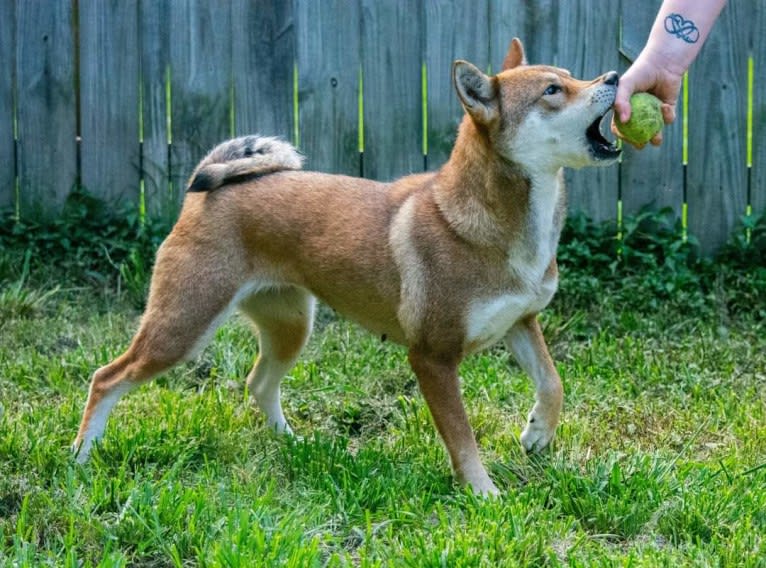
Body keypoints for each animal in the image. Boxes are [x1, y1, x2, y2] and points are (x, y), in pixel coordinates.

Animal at [75, 38, 620, 496]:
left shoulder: (522, 321)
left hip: (290, 327)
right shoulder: (433, 357)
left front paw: (537, 434)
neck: (489, 221)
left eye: (570, 75)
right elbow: (462, 439)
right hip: (182, 328)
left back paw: (292, 443)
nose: (615, 75)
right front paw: (483, 493)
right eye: (552, 90)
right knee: (107, 377)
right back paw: (82, 456)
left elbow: (552, 382)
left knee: (258, 383)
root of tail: (206, 187)